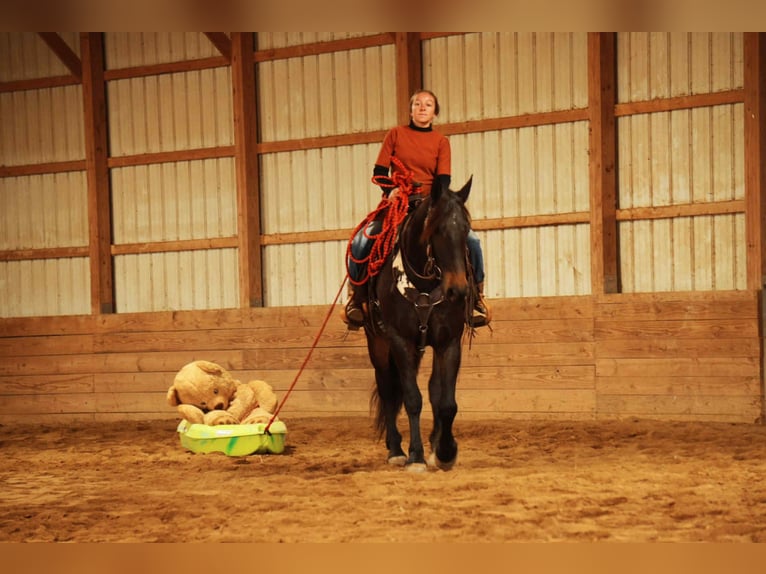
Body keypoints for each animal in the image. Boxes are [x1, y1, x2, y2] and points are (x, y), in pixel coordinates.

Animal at [362, 175, 475, 472]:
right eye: (436, 230)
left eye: (466, 229)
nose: (458, 290)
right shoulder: (400, 340)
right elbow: (412, 398)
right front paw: (415, 456)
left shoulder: (448, 341)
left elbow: (446, 402)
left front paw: (445, 451)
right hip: (378, 345)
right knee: (388, 389)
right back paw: (396, 450)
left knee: (432, 389)